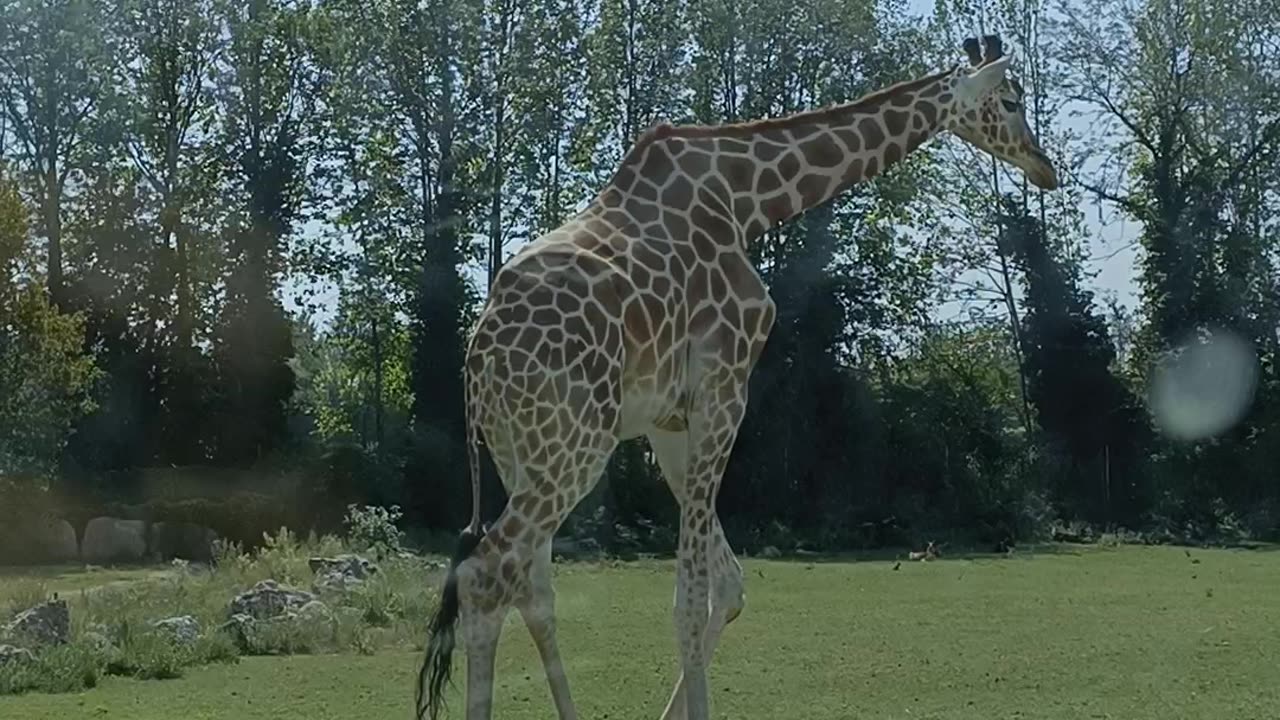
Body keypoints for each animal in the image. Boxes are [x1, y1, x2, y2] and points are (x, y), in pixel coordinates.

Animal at [414, 32, 1054, 717]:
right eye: (1010, 101)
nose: (1046, 168)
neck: (748, 199)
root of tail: (478, 361)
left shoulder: (669, 421)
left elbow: (729, 586)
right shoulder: (725, 385)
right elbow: (690, 600)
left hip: (520, 452)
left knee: (529, 589)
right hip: (575, 448)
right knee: (486, 576)